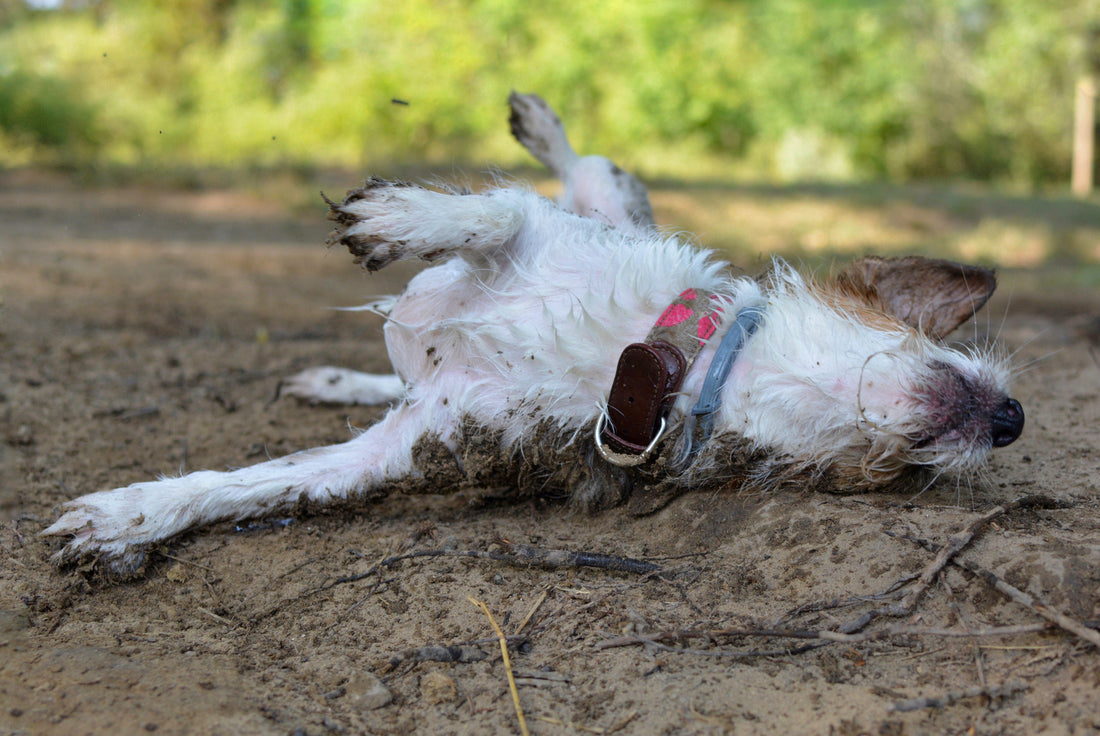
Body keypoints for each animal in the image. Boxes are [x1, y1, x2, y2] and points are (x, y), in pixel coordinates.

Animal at [40, 93, 1020, 572]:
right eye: (932, 341)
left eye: (895, 477)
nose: (1012, 419)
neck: (670, 365)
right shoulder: (539, 233)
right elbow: (492, 211)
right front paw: (398, 218)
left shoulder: (400, 449)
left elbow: (262, 482)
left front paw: (132, 517)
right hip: (600, 199)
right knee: (580, 163)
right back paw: (538, 119)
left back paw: (339, 378)